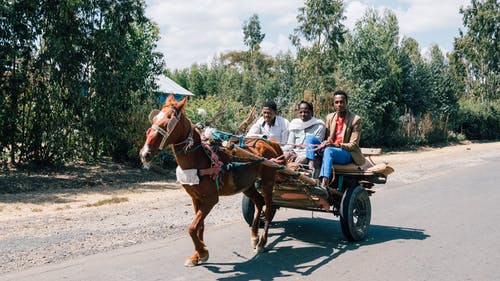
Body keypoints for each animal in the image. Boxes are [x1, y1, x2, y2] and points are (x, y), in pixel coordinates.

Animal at [139, 93, 284, 264]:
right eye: (154, 119)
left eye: (168, 121)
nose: (145, 154)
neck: (199, 158)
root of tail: (271, 143)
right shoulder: (196, 198)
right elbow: (199, 225)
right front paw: (197, 255)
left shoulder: (211, 199)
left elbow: (192, 227)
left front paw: (202, 251)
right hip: (247, 185)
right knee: (259, 202)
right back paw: (255, 237)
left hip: (268, 183)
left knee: (268, 209)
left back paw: (262, 242)